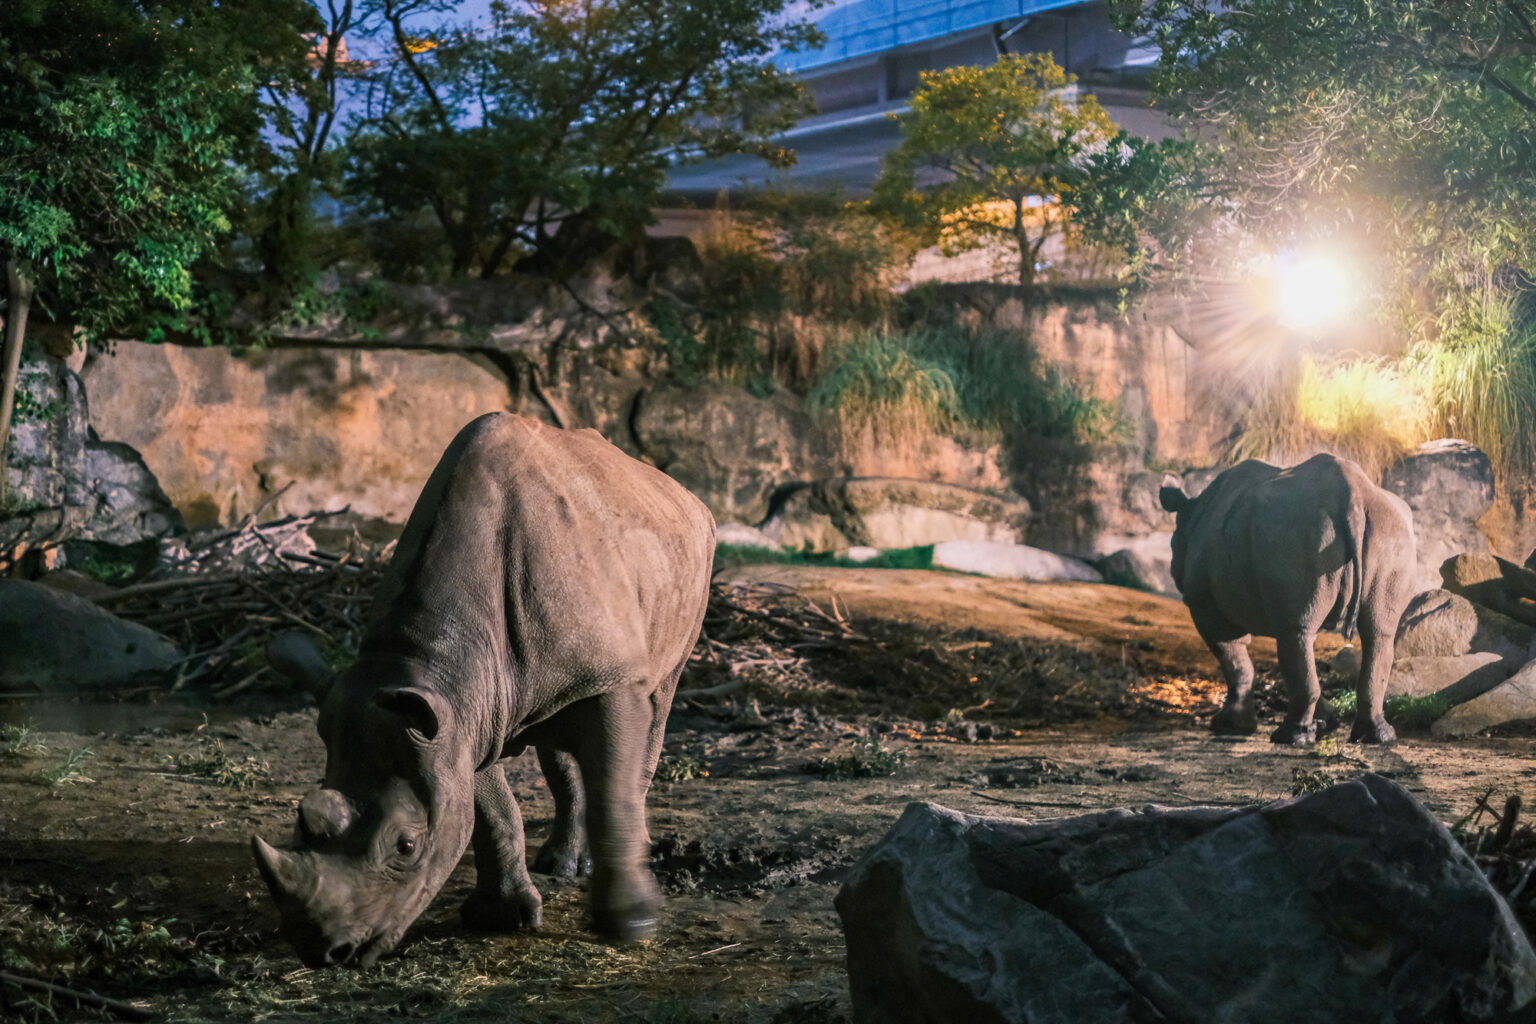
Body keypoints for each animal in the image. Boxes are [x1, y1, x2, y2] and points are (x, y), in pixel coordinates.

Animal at [250, 411, 712, 970]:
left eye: (406, 846)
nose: (324, 951)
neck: (430, 660)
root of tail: (683, 493)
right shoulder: (463, 715)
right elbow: (490, 811)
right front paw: (500, 919)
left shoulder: (602, 680)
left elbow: (611, 792)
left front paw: (631, 925)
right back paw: (562, 865)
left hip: (687, 578)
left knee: (656, 707)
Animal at [1161, 454, 1413, 746]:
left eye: (1173, 547)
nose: (1174, 571)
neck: (1194, 514)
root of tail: (1355, 496)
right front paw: (1328, 722)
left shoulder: (1205, 605)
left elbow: (1234, 659)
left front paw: (1230, 726)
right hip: (1389, 530)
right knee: (1376, 633)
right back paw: (1377, 737)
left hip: (1299, 532)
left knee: (1295, 633)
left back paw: (1289, 737)